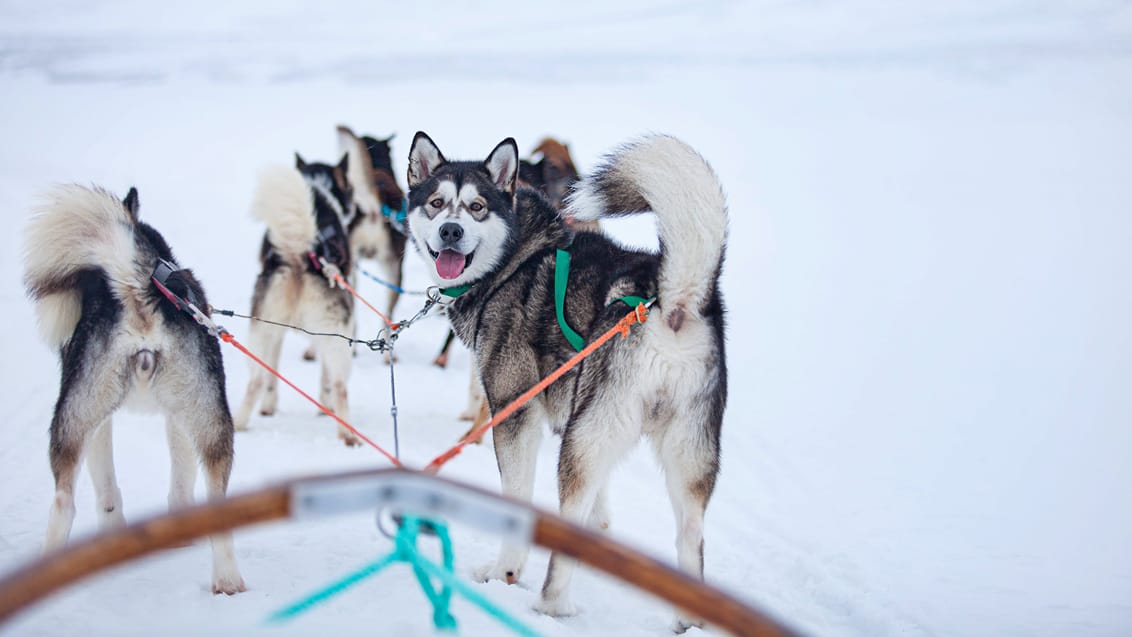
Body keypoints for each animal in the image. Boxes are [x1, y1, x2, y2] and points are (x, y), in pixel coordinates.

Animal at [24, 184, 245, 592]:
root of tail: (140, 292)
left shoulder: (122, 423)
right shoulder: (163, 417)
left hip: (82, 420)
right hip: (205, 421)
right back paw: (227, 579)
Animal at [227, 155, 355, 445]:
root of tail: (303, 252)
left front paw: (269, 407)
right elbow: (325, 380)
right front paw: (324, 405)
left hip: (261, 332)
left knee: (256, 382)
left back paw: (240, 424)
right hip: (338, 336)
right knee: (340, 386)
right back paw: (347, 434)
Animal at [407, 133, 724, 629]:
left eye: (477, 207)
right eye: (437, 203)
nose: (451, 232)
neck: (515, 258)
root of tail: (672, 302)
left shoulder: (514, 411)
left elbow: (518, 496)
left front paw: (504, 571)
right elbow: (602, 513)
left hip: (587, 438)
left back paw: (549, 605)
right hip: (672, 454)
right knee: (689, 533)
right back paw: (688, 624)